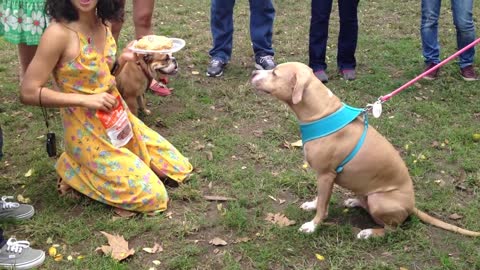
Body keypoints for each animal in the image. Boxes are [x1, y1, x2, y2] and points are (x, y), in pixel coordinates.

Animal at [249, 61, 478, 238]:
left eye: (275, 73)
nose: (253, 73)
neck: (321, 111)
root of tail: (411, 205)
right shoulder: (323, 177)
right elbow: (320, 199)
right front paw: (312, 205)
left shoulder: (325, 175)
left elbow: (323, 205)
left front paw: (313, 225)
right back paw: (355, 201)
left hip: (380, 201)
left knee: (393, 229)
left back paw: (369, 233)